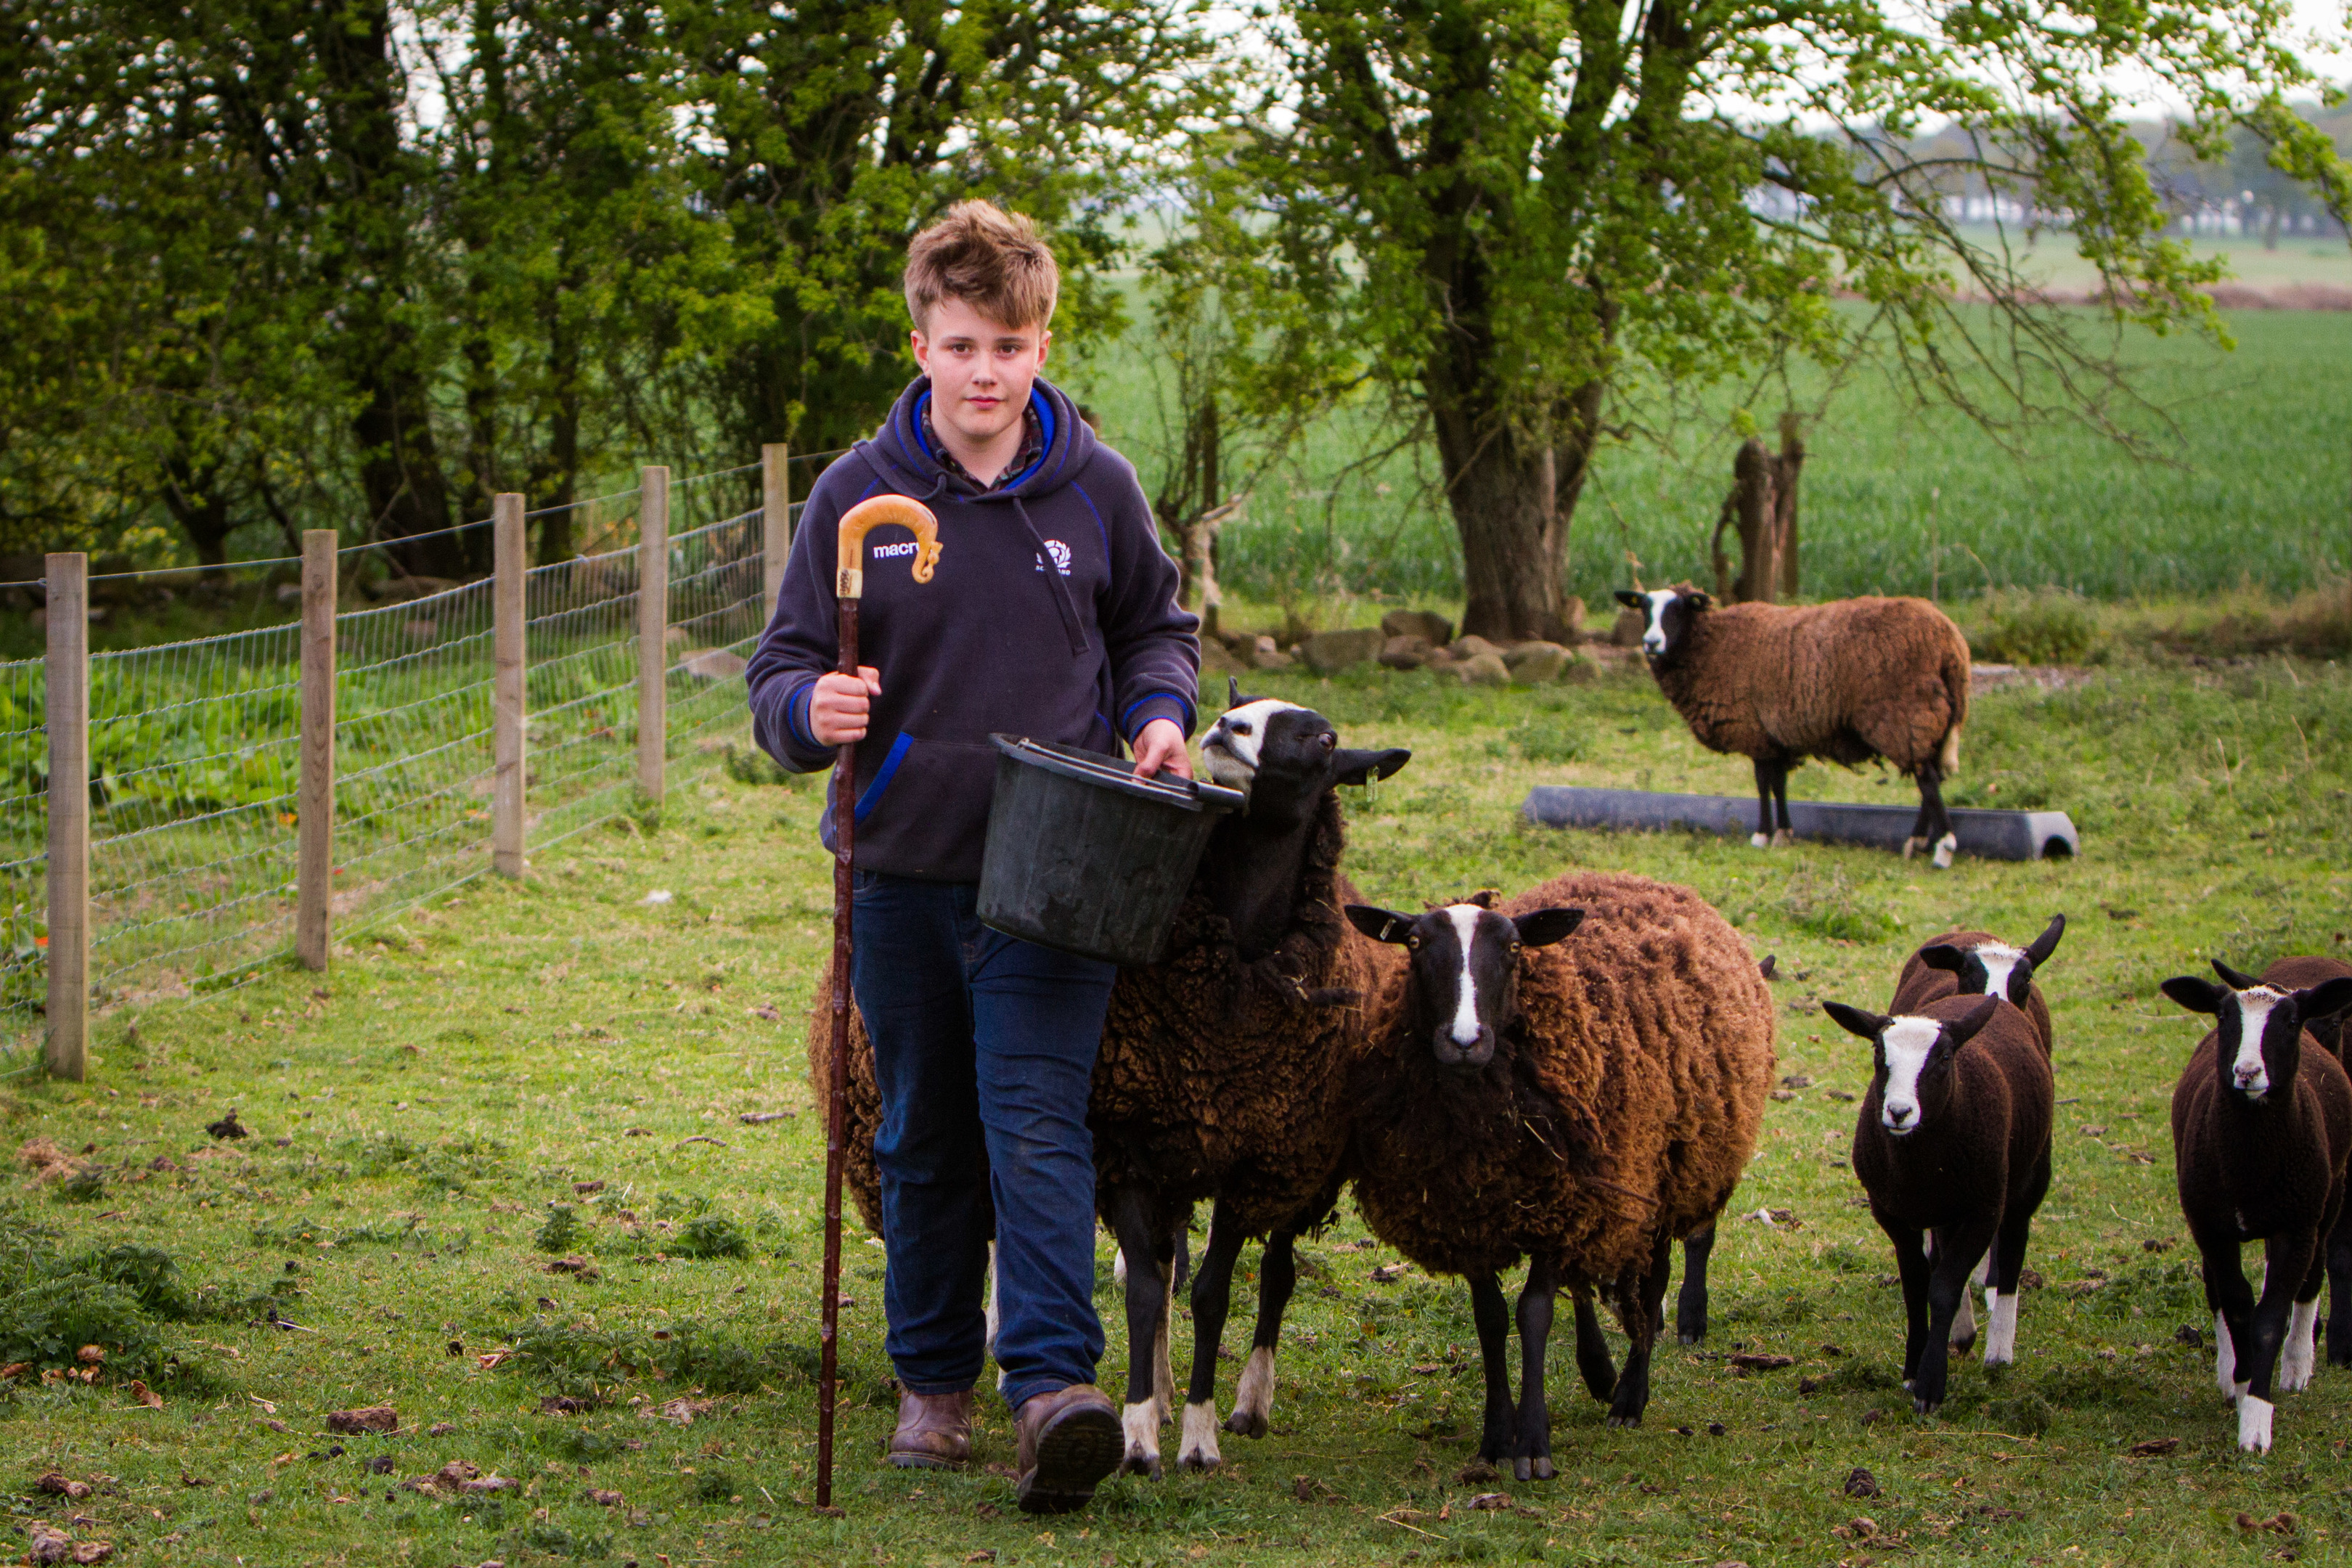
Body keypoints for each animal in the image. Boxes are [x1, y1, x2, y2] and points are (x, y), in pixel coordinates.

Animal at [1345, 865, 1768, 1476]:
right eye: (1416, 944)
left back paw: (1629, 1396)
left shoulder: (1559, 1208)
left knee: (1652, 1285)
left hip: (1659, 1180)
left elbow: (1535, 1314)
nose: (1465, 1042)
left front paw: (1533, 1445)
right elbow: (1492, 1317)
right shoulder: (1472, 1216)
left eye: (1514, 948)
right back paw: (1599, 1371)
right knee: (1587, 1280)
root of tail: (1638, 877)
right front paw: (1496, 1439)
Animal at [1609, 587, 1975, 865]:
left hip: (1906, 714)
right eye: (1644, 608)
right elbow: (1779, 783)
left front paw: (1762, 835)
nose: (1651, 643)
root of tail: (1951, 643)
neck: (1712, 646)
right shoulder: (1774, 735)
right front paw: (1784, 834)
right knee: (1930, 777)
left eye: (1678, 609)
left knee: (1927, 780)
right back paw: (1919, 842)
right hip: (1927, 719)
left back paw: (1943, 849)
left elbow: (1762, 783)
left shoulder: (1753, 729)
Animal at [1806, 1001, 2051, 1419]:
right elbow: (1918, 1286)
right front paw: (1911, 1370)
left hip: (2027, 1177)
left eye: (1945, 1058)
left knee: (2013, 1248)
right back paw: (1964, 1332)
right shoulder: (1892, 1215)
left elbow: (1944, 1287)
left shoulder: (1984, 1210)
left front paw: (1930, 1386)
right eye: (1878, 1054)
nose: (1899, 1112)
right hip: (1944, 1210)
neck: (1920, 1165)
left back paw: (1999, 1351)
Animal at [2154, 950, 2352, 1457]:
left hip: (2327, 1199)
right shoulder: (2213, 1226)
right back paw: (2231, 1374)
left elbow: (2269, 1318)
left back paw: (2297, 1366)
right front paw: (2243, 1385)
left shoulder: (2295, 1227)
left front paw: (2257, 1424)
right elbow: (2238, 1303)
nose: (2247, 1074)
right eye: (2225, 1017)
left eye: (2291, 1021)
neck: (2251, 1161)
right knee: (2217, 1290)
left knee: (2313, 1278)